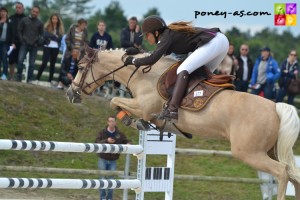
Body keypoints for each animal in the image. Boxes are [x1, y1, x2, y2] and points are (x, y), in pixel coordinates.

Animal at [67, 47, 300, 200]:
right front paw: (142, 124)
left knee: (282, 173)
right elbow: (116, 103)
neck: (145, 75)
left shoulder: (143, 106)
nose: (70, 93)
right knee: (293, 175)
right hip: (269, 151)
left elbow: (115, 101)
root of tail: (275, 106)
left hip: (249, 153)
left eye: (80, 66)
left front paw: (135, 121)